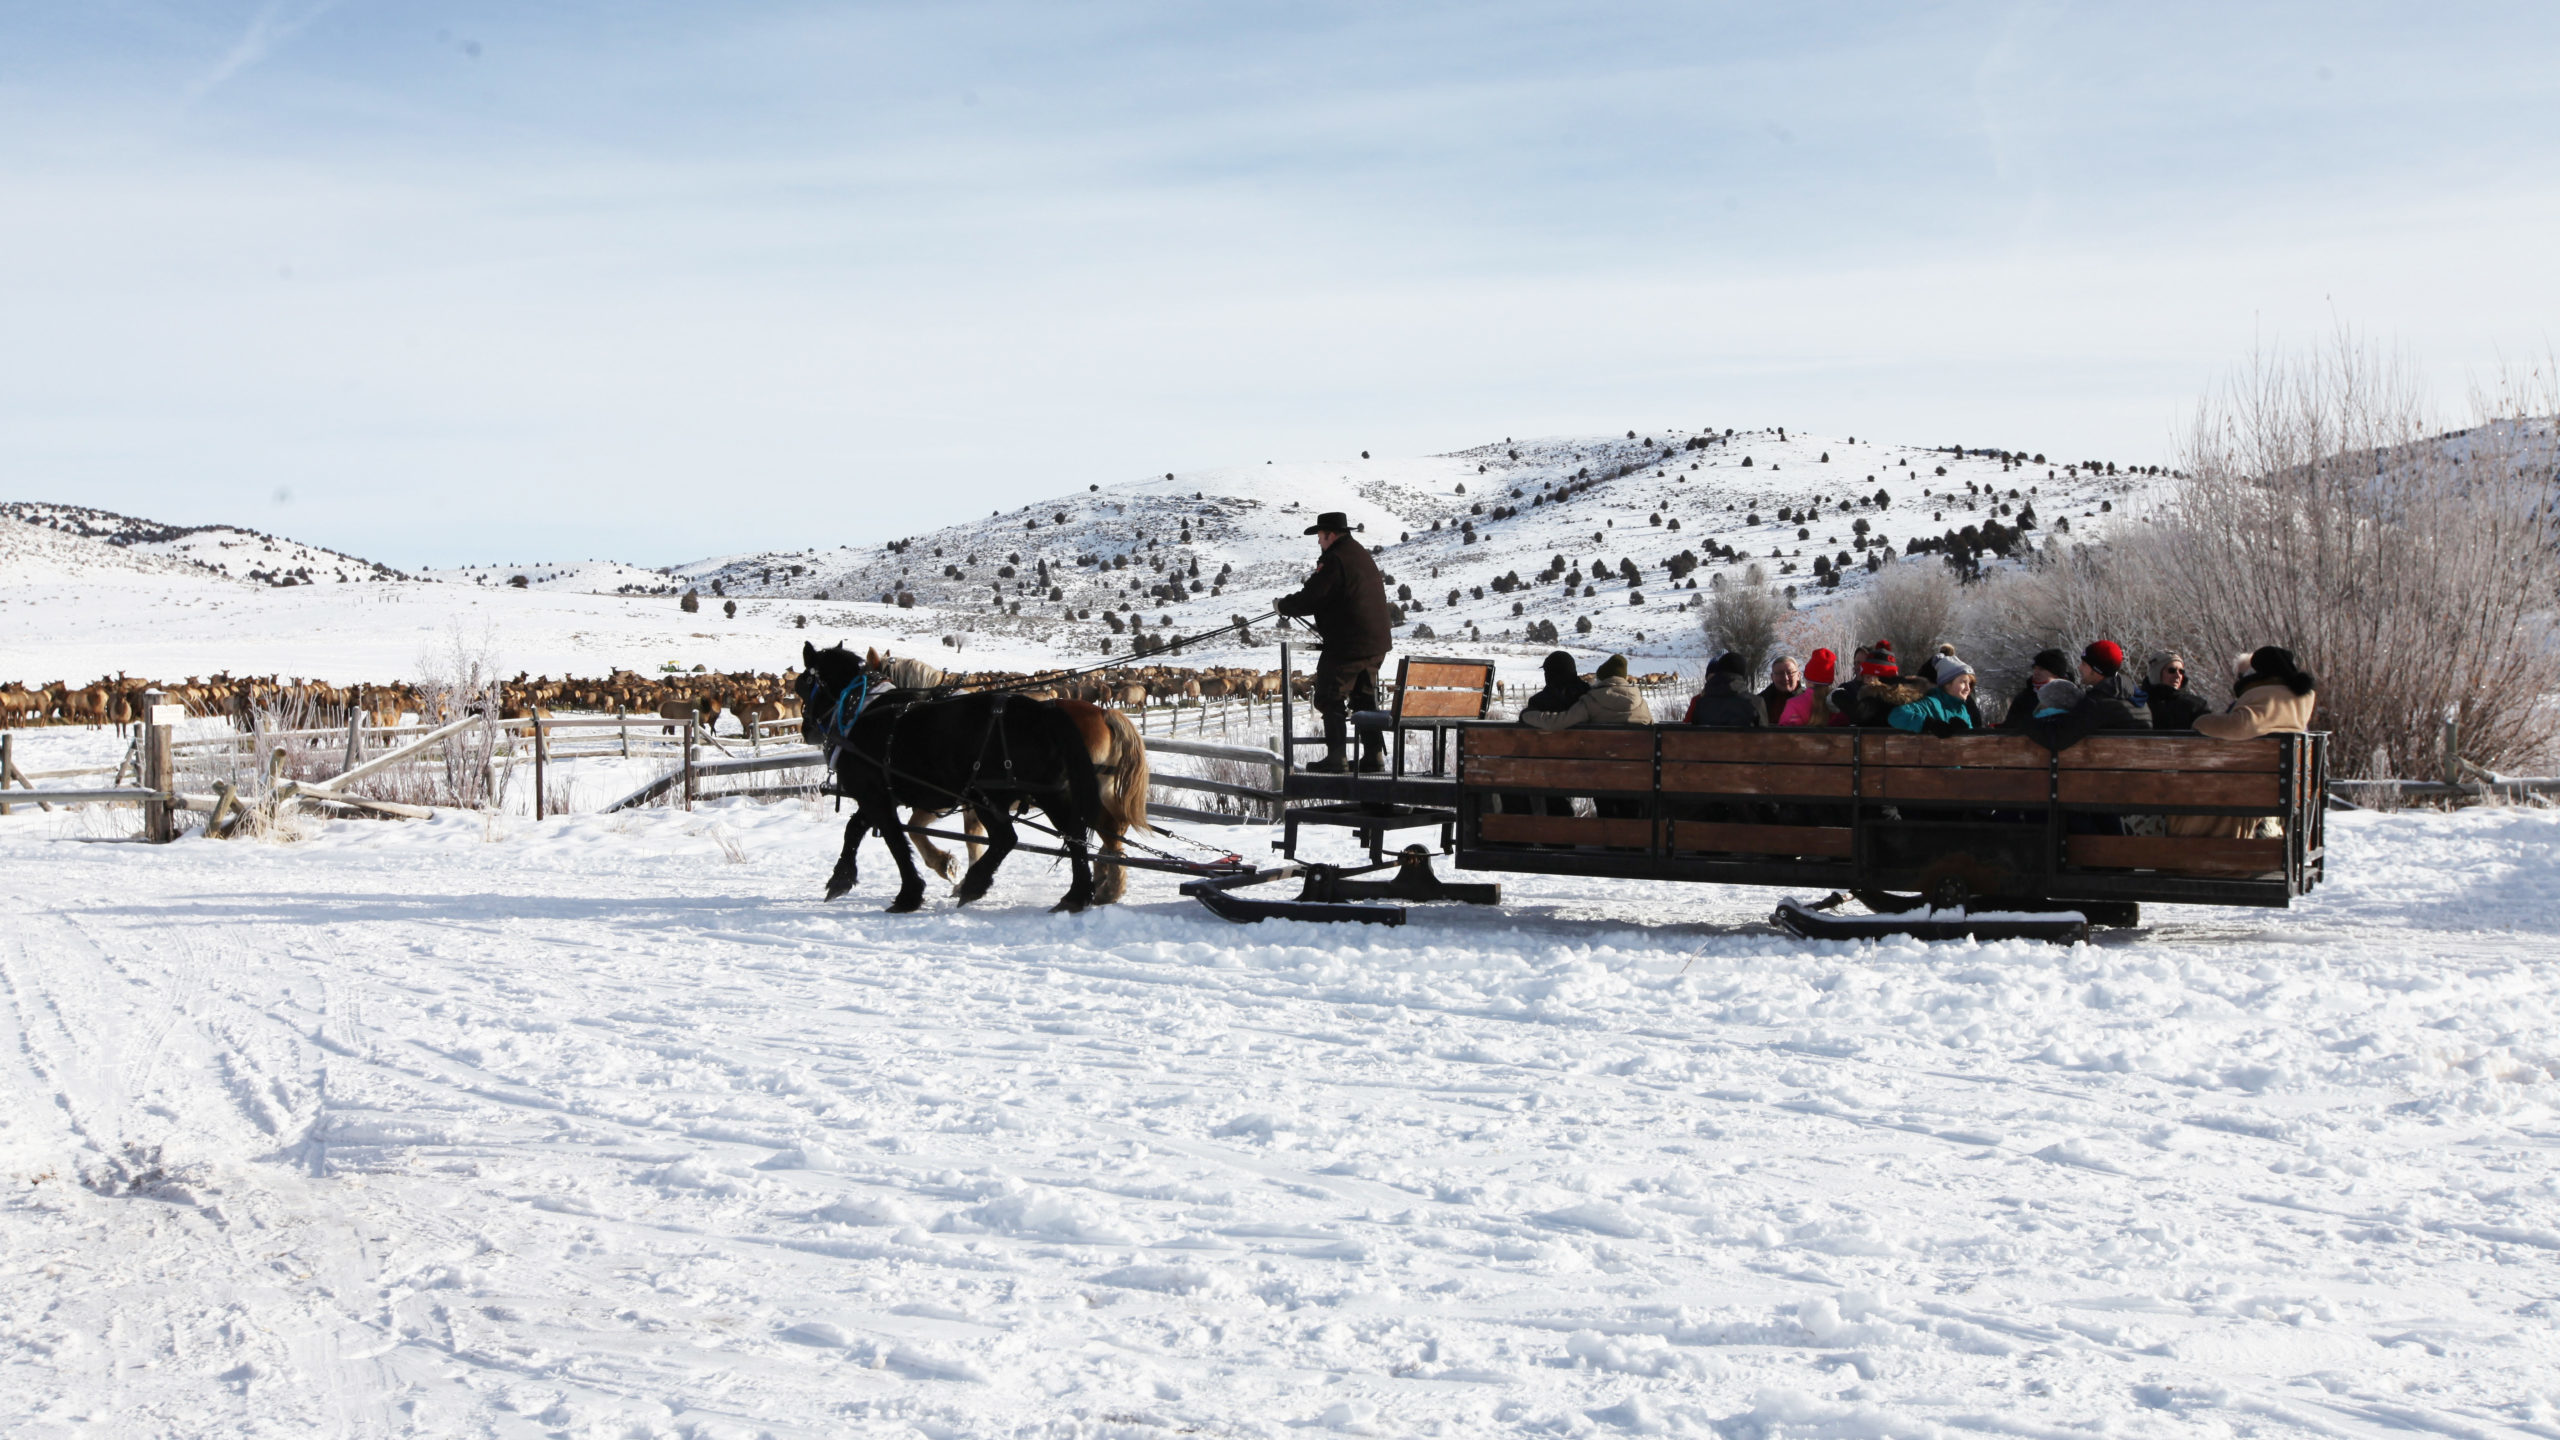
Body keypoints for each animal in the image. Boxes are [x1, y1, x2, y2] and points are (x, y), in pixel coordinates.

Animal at [798, 643, 1145, 912]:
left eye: (803, 683)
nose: (806, 730)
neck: (866, 710)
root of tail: (1104, 713)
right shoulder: (893, 794)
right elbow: (861, 829)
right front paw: (842, 878)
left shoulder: (884, 794)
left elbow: (899, 838)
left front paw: (917, 889)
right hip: (1054, 792)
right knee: (1082, 835)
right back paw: (1084, 893)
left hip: (1000, 795)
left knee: (1024, 837)